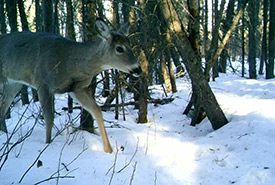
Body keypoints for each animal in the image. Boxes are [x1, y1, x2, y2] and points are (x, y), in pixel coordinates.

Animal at [0, 18, 141, 153]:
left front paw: (109, 150)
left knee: (3, 108)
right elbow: (49, 118)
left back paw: (5, 136)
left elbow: (96, 110)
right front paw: (47, 144)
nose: (138, 69)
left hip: (14, 83)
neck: (69, 63)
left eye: (130, 45)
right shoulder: (43, 83)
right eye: (119, 48)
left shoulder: (76, 88)